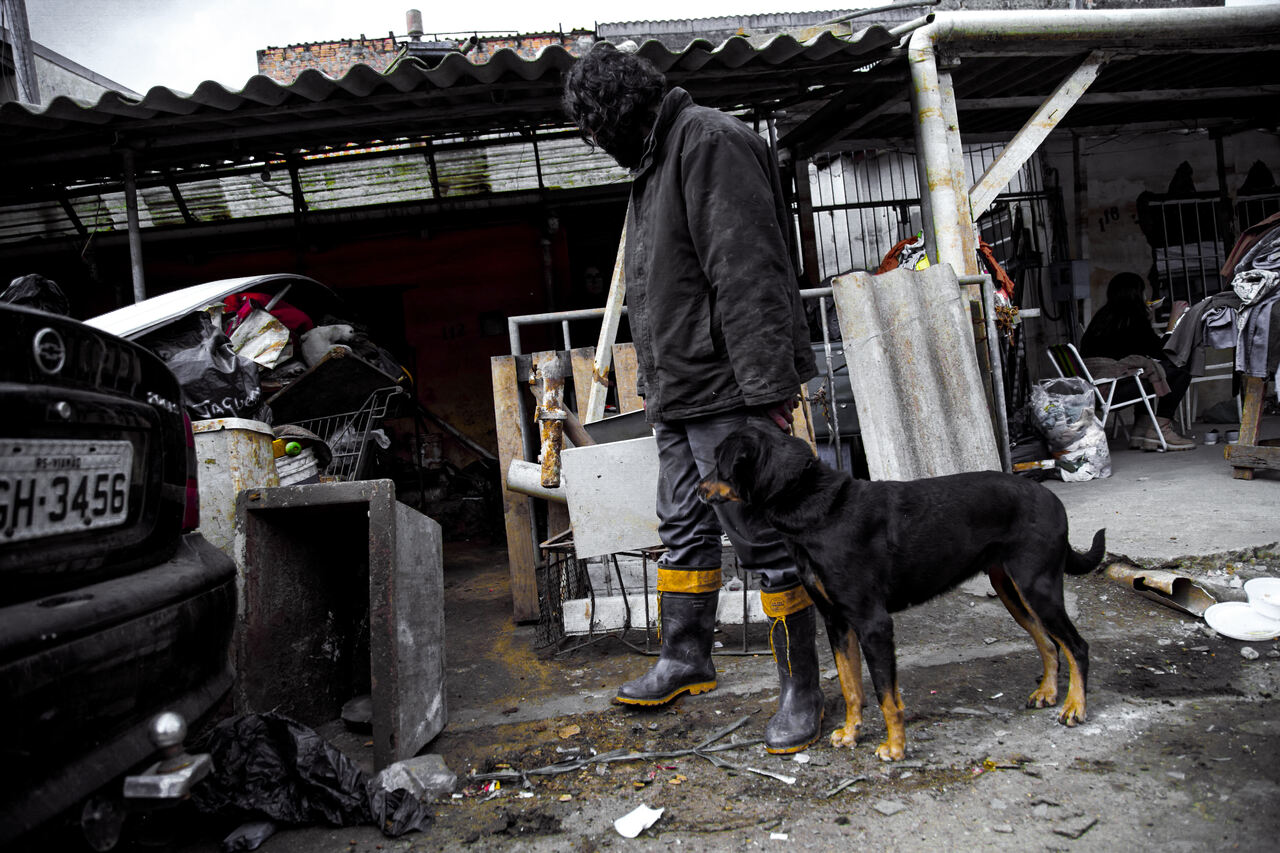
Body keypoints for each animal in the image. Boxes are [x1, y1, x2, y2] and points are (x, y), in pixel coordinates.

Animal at [696, 422, 1105, 758]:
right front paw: (850, 733)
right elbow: (851, 686)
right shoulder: (836, 622)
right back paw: (1049, 693)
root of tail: (1053, 499)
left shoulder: (873, 623)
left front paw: (895, 747)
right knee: (1048, 642)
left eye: (718, 463)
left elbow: (885, 694)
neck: (820, 509)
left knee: (1077, 646)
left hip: (1038, 587)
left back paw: (1075, 707)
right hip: (1011, 590)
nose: (698, 489)